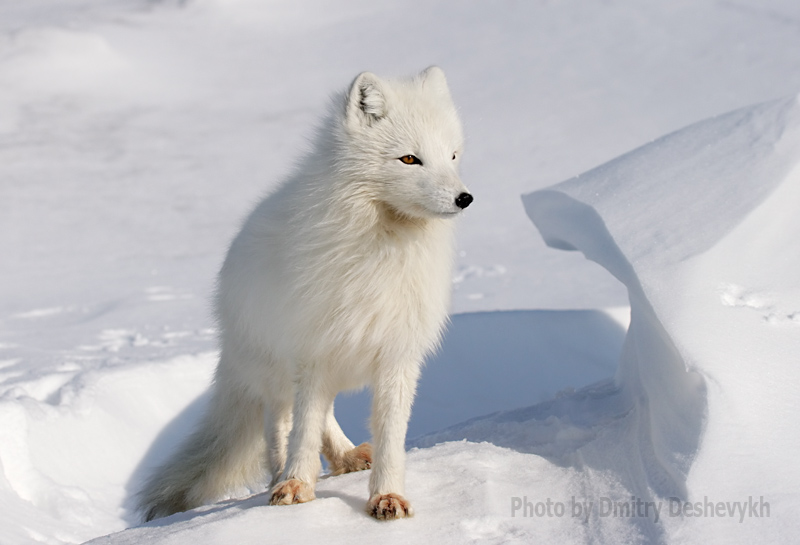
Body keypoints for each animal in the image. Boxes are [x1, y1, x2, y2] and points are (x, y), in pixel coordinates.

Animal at [138, 66, 472, 520]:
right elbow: (303, 429)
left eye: (452, 156)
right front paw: (297, 484)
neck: (381, 248)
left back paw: (347, 456)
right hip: (276, 366)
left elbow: (389, 436)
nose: (464, 198)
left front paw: (387, 496)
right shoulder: (314, 350)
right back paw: (282, 476)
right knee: (280, 423)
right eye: (409, 159)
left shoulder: (396, 354)